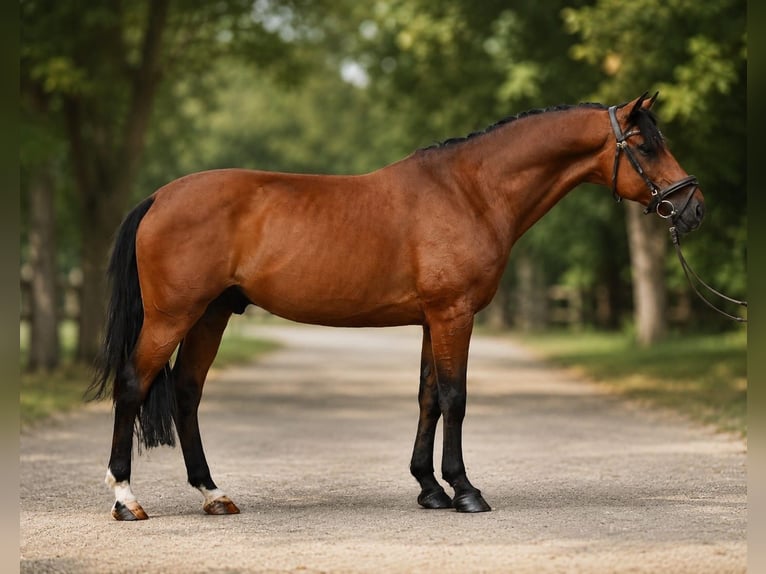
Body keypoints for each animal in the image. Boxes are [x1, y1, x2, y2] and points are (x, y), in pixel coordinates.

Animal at [90, 92, 705, 520]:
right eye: (646, 145)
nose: (693, 208)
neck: (469, 191)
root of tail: (159, 197)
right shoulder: (455, 314)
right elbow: (455, 398)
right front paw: (465, 491)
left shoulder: (435, 318)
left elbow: (428, 397)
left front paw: (430, 489)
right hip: (172, 317)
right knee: (134, 386)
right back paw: (126, 499)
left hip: (211, 316)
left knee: (187, 393)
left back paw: (214, 494)